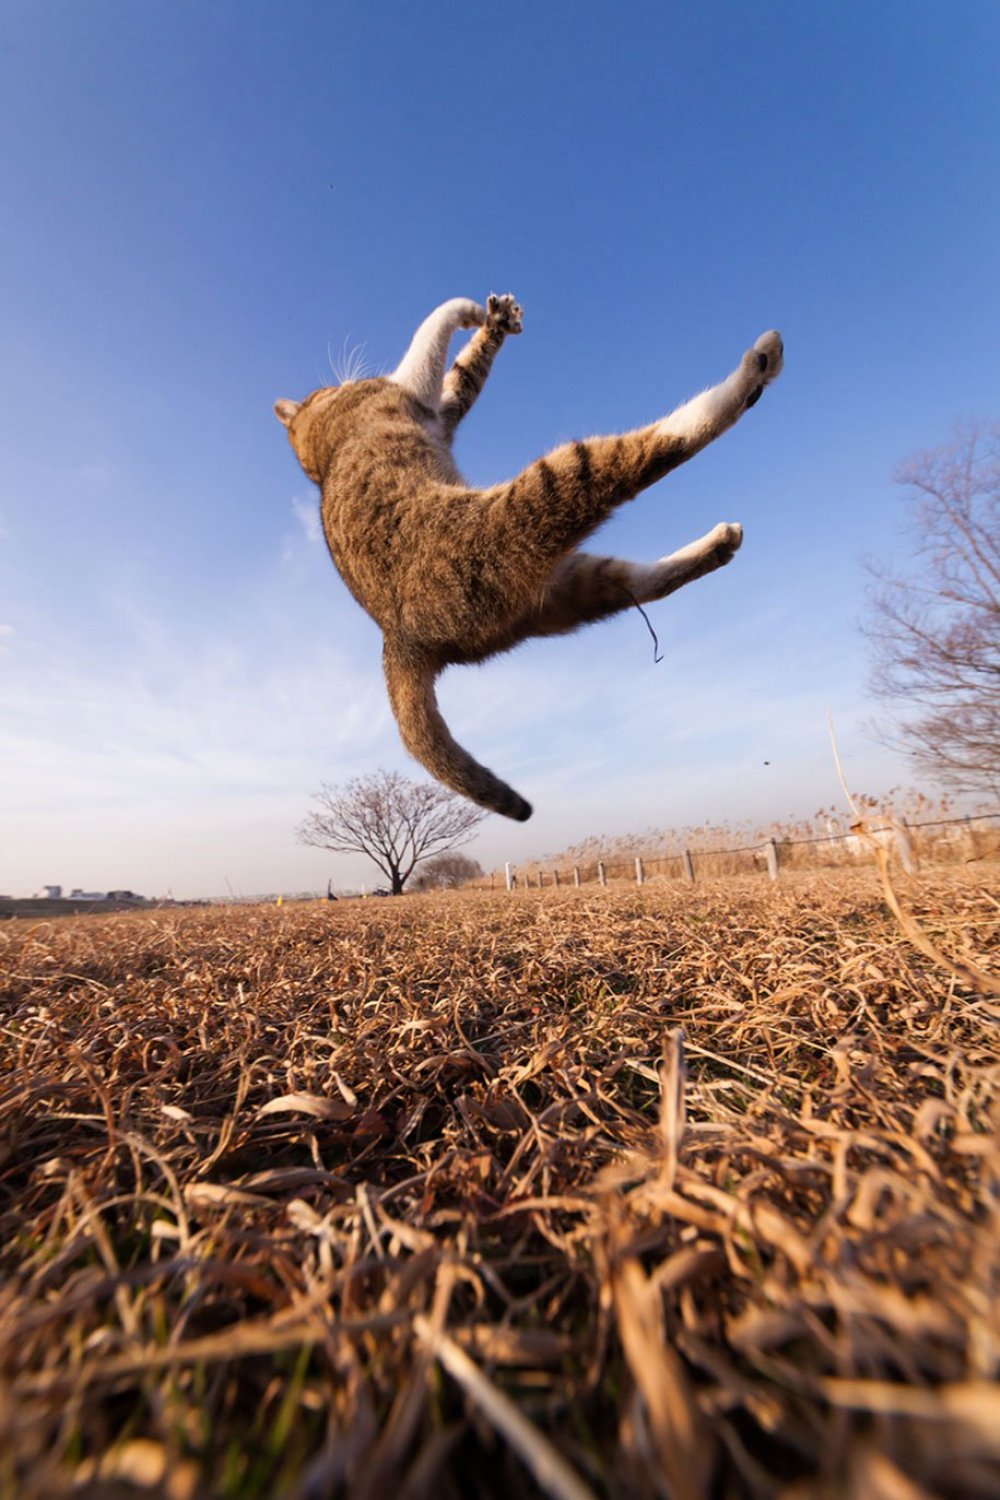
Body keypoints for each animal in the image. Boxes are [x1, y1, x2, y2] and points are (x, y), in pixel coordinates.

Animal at [274, 295, 779, 822]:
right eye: (322, 390)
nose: (335, 382)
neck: (317, 454)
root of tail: (399, 640)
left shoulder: (441, 408)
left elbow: (463, 372)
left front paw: (494, 321)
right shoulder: (410, 387)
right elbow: (429, 334)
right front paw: (468, 310)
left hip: (570, 588)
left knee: (647, 583)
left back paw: (719, 544)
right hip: (545, 495)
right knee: (657, 449)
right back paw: (755, 370)